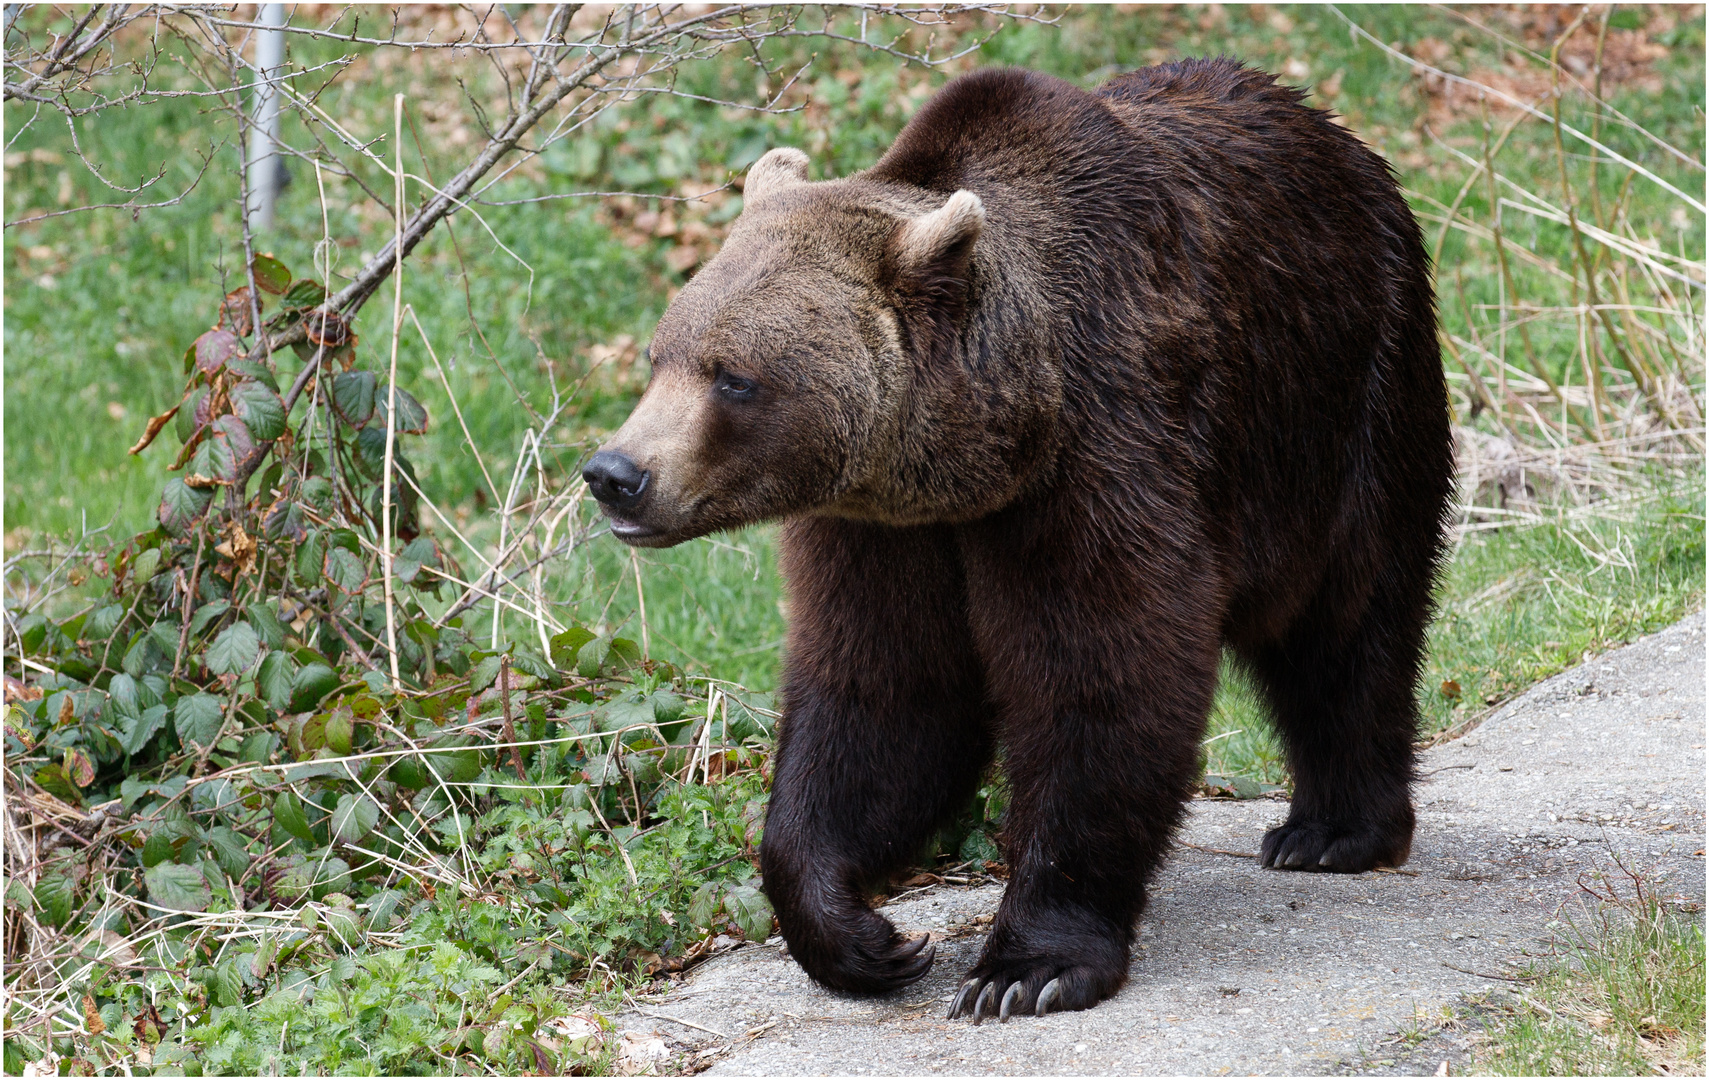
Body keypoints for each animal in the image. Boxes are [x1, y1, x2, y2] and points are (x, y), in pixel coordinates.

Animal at [581, 58, 1449, 1018]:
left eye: (733, 377)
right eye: (660, 355)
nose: (615, 472)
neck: (982, 453)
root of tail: (1341, 140)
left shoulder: (1101, 453)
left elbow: (1100, 672)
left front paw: (1025, 965)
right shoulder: (881, 529)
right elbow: (884, 689)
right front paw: (863, 936)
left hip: (1345, 403)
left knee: (1346, 623)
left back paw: (1331, 830)